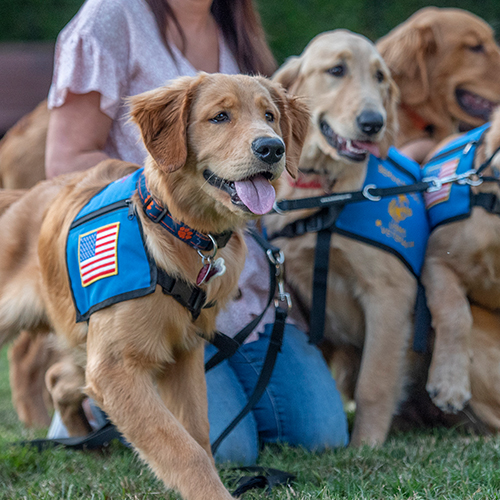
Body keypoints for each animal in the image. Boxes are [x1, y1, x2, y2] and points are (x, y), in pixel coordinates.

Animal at [0, 73, 308, 500]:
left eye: (270, 116)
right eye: (220, 117)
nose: (272, 148)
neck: (183, 232)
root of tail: (23, 195)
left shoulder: (183, 355)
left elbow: (197, 437)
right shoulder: (115, 369)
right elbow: (183, 449)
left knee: (58, 378)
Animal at [266, 30, 410, 446]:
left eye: (380, 77)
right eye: (336, 70)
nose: (373, 123)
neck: (323, 189)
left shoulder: (390, 294)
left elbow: (373, 383)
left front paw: (366, 445)